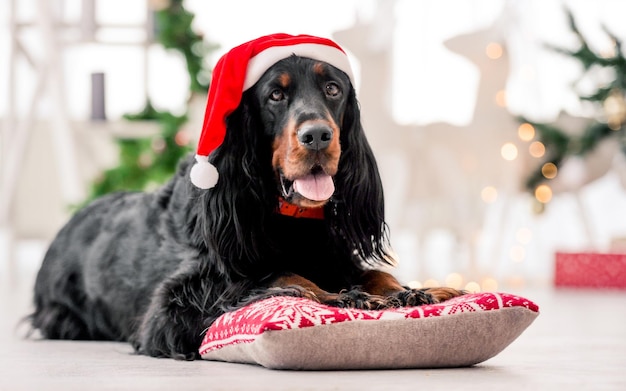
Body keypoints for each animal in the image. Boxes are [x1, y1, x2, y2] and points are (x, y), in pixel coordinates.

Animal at [28, 36, 464, 362]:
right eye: (275, 95)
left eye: (333, 89)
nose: (317, 136)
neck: (288, 215)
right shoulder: (173, 308)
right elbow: (278, 277)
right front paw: (347, 297)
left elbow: (374, 273)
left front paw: (417, 290)